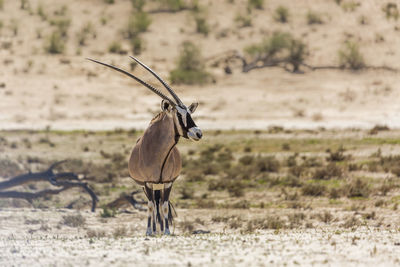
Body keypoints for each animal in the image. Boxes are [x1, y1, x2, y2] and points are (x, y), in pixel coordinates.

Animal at [89, 55, 205, 236]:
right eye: (179, 115)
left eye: (189, 113)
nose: (198, 133)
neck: (158, 152)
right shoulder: (147, 183)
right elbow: (151, 206)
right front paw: (150, 231)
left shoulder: (168, 182)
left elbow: (164, 206)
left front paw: (166, 231)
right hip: (148, 186)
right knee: (153, 204)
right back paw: (154, 230)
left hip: (160, 185)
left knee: (160, 204)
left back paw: (161, 229)